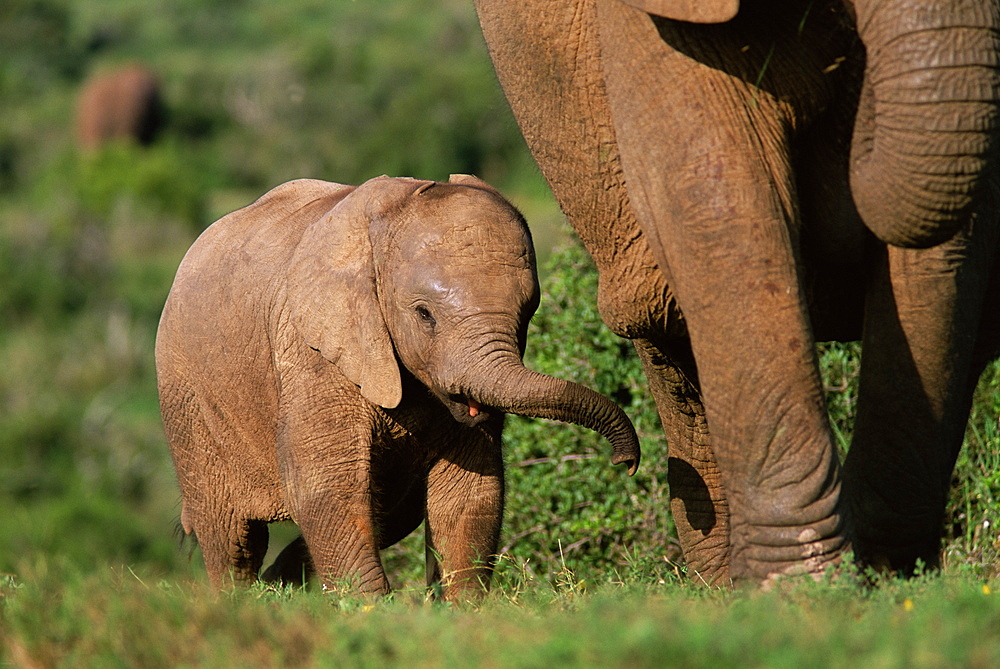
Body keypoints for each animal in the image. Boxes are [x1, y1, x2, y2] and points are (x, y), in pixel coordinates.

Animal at [156, 174, 640, 600]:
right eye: (425, 315)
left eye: (528, 310)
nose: (626, 462)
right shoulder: (312, 350)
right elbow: (325, 489)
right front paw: (373, 611)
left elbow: (469, 493)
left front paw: (464, 614)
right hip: (186, 403)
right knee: (231, 537)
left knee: (390, 512)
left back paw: (282, 586)